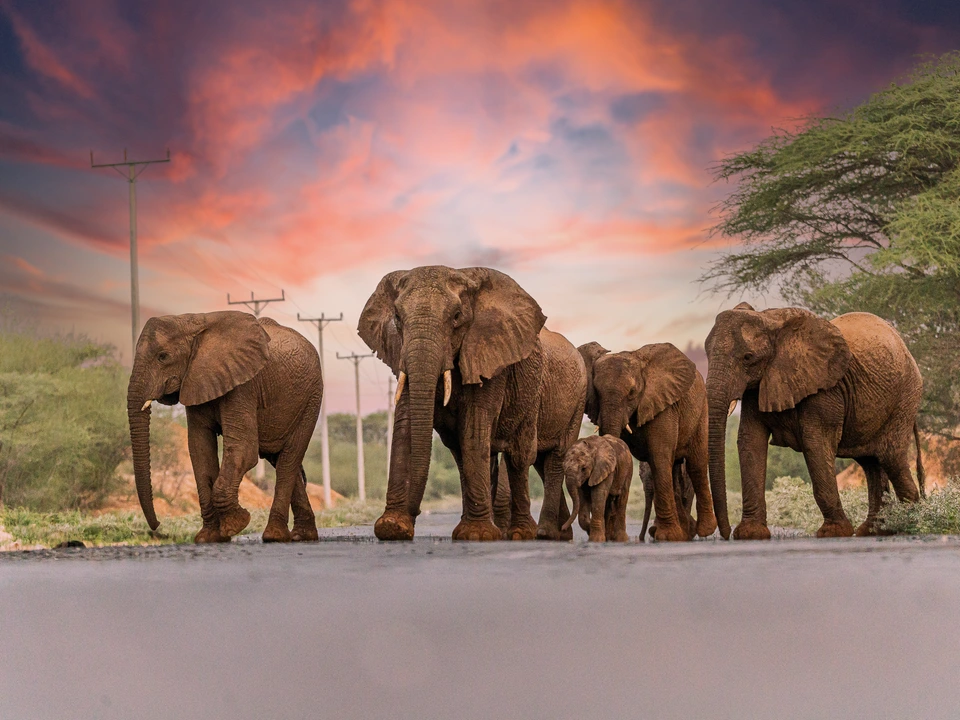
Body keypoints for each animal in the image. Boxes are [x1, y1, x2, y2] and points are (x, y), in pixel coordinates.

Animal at [127, 311, 323, 543]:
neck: (193, 322)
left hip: (311, 399)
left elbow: (243, 449)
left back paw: (274, 536)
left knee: (288, 460)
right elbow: (200, 450)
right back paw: (302, 535)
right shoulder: (195, 379)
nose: (157, 526)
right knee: (280, 459)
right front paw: (209, 537)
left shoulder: (243, 384)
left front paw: (236, 524)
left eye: (163, 356)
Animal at [358, 266, 586, 542]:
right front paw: (393, 527)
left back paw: (534, 533)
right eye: (398, 318)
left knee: (532, 457)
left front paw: (477, 534)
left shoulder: (489, 356)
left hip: (568, 400)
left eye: (457, 317)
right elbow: (405, 426)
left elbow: (475, 425)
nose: (418, 512)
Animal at [579, 341, 716, 542]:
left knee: (695, 464)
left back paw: (703, 530)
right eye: (596, 391)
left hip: (700, 411)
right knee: (673, 468)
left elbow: (659, 458)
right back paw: (681, 532)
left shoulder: (663, 405)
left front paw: (667, 536)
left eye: (632, 392)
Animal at [705, 304, 926, 540]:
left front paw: (834, 532)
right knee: (871, 463)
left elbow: (816, 442)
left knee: (890, 456)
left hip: (906, 396)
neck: (770, 319)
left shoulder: (824, 388)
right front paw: (750, 533)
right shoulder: (758, 386)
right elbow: (750, 441)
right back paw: (875, 530)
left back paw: (910, 523)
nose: (725, 533)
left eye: (748, 357)